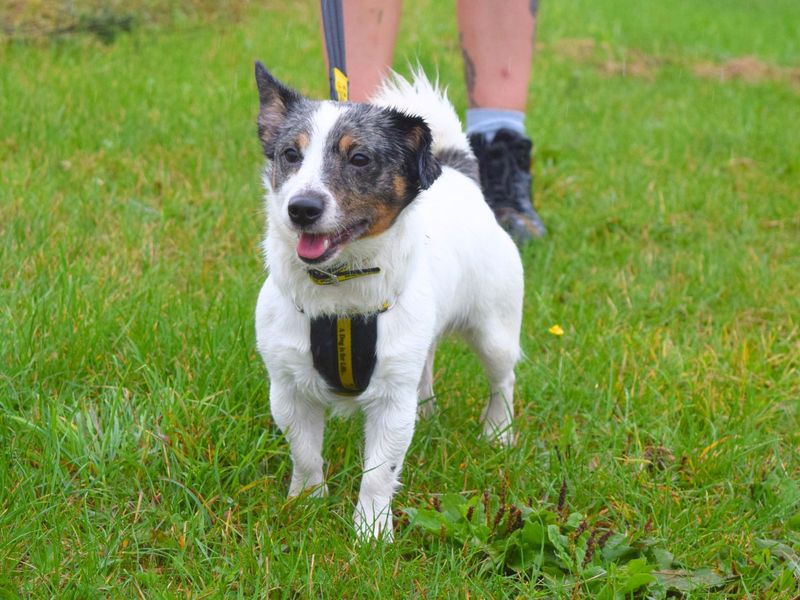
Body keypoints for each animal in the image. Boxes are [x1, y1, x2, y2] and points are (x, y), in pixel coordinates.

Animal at [253, 62, 520, 540]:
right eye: (290, 154)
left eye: (359, 158)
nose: (301, 208)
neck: (339, 296)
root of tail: (462, 178)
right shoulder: (287, 389)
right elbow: (305, 455)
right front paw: (306, 505)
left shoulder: (392, 403)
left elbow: (379, 474)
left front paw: (372, 533)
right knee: (427, 364)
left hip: (496, 333)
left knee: (502, 382)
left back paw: (498, 432)